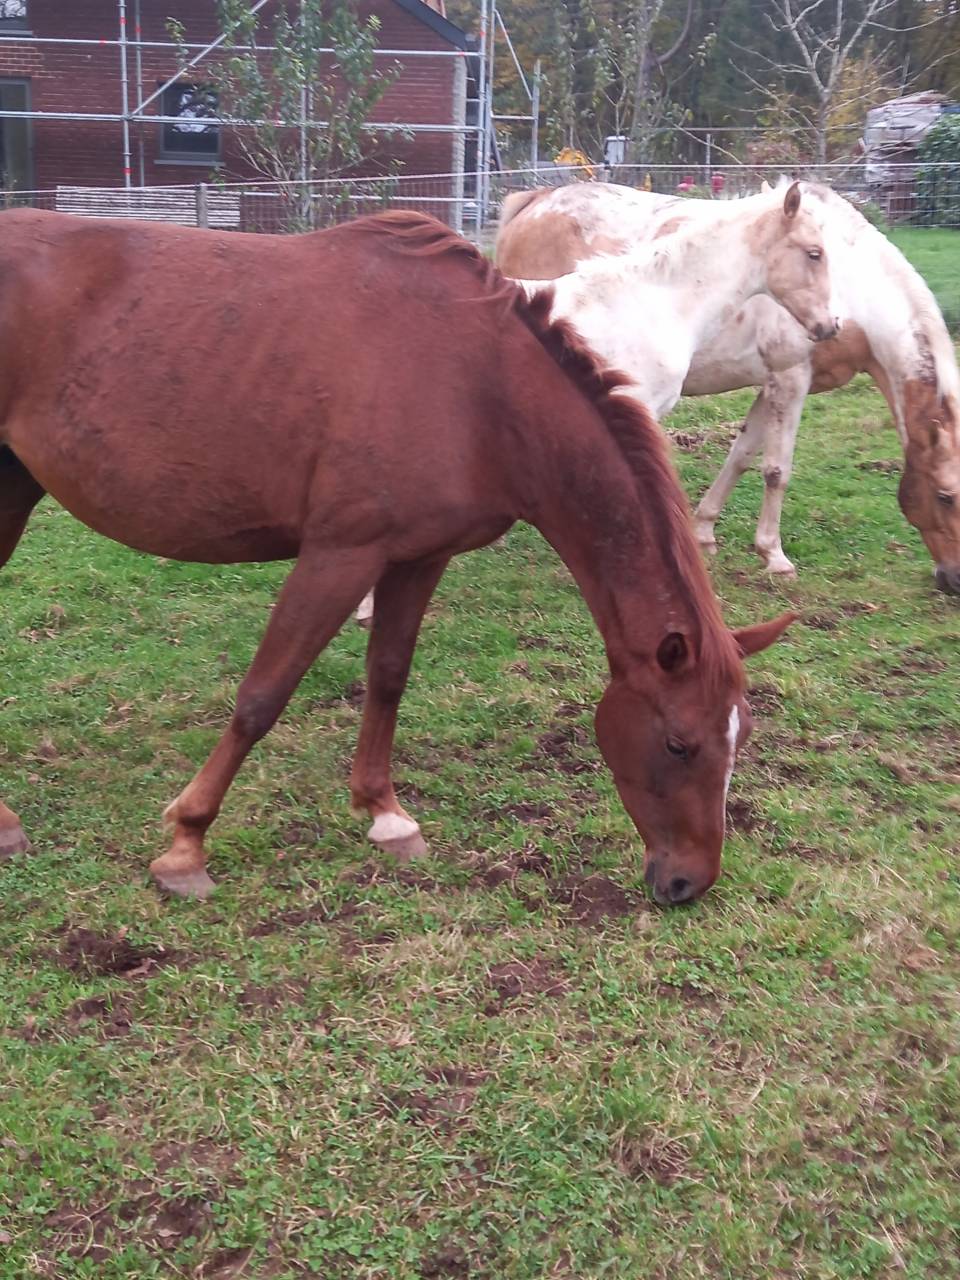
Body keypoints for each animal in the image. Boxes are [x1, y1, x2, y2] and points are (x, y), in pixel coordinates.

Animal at [0, 208, 795, 905]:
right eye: (679, 745)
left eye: (741, 738)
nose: (690, 882)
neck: (479, 391)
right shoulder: (340, 555)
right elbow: (262, 696)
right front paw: (187, 845)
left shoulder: (419, 557)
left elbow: (388, 676)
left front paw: (384, 814)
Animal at [495, 182, 960, 594]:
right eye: (945, 496)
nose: (953, 582)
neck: (854, 291)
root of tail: (534, 202)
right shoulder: (790, 376)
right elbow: (776, 470)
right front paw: (776, 558)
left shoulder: (774, 384)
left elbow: (741, 456)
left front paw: (704, 533)